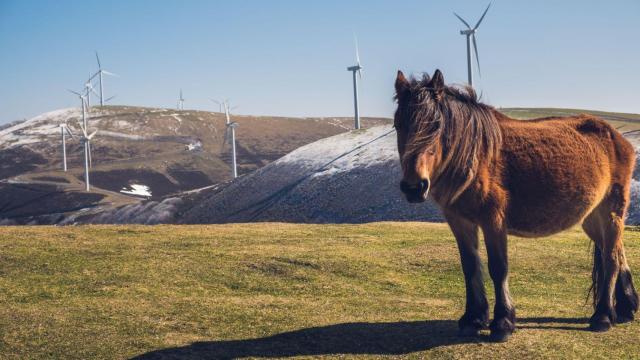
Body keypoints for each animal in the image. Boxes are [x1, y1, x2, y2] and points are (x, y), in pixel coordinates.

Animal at [396, 69, 640, 342]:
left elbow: (498, 267)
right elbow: (470, 266)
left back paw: (603, 316)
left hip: (611, 212)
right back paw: (626, 308)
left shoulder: (493, 221)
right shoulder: (459, 221)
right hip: (592, 218)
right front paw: (473, 318)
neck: (475, 155)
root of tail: (617, 137)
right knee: (617, 252)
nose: (414, 186)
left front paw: (502, 322)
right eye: (398, 124)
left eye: (436, 126)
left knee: (611, 259)